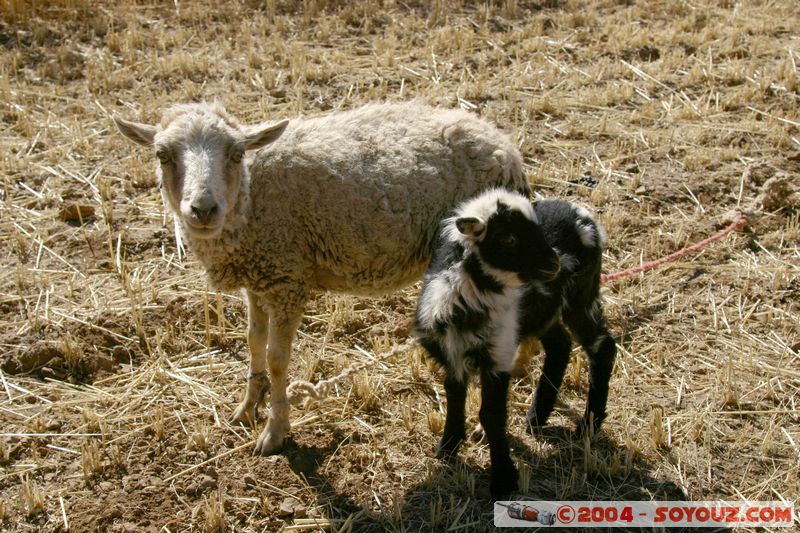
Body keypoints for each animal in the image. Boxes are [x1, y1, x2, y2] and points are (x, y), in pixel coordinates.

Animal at [109, 100, 528, 454]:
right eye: (162, 155)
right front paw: (248, 405)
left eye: (236, 153)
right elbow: (253, 341)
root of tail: (506, 147)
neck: (252, 197)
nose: (203, 209)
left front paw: (275, 431)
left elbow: (277, 358)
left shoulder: (286, 280)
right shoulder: (258, 277)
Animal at [412, 188, 620, 498]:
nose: (554, 264)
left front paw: (503, 480)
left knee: (602, 347)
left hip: (581, 294)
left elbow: (491, 414)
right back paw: (537, 416)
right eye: (508, 238)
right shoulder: (452, 352)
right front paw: (448, 447)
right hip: (545, 310)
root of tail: (580, 212)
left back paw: (587, 425)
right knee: (561, 344)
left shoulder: (499, 352)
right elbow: (454, 395)